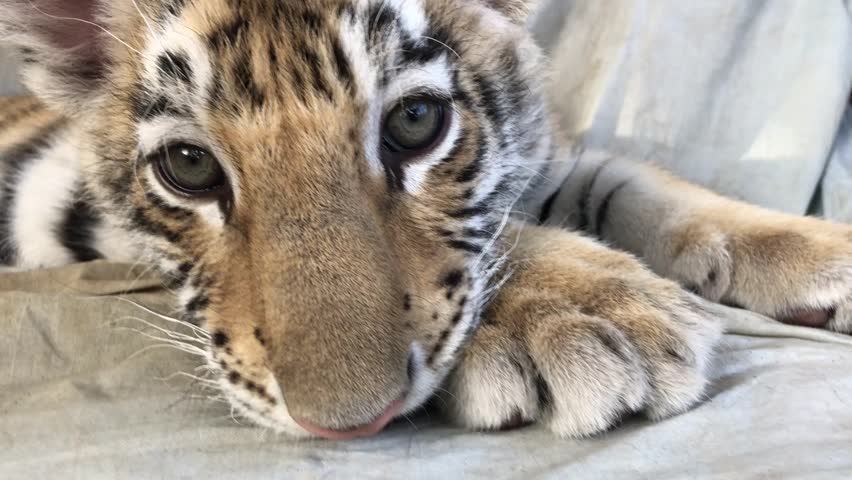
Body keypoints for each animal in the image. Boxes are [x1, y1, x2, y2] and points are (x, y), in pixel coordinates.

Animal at [0, 0, 850, 441]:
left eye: (414, 121)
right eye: (189, 166)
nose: (347, 425)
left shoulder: (551, 156)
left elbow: (642, 185)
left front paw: (824, 256)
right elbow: (502, 241)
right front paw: (594, 320)